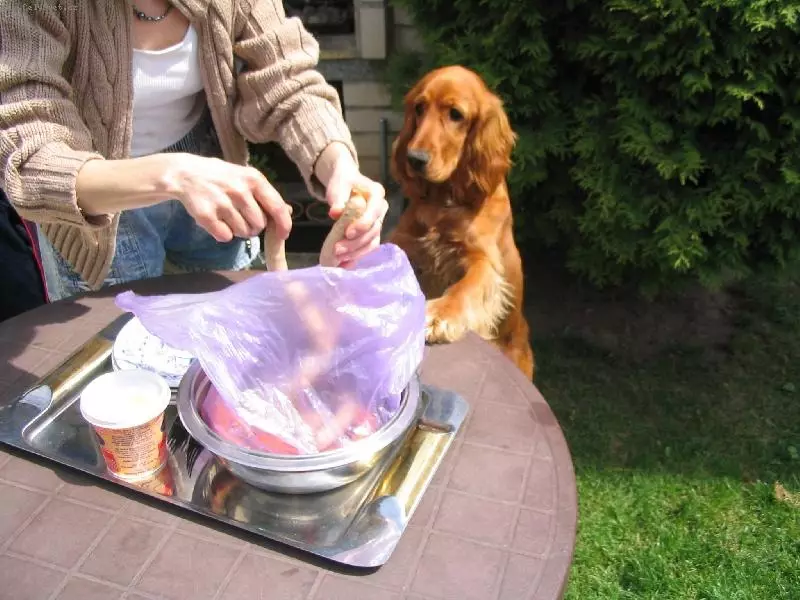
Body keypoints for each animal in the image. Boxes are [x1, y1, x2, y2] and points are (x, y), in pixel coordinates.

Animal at [386, 65, 532, 380]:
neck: (443, 201)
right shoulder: (406, 242)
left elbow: (465, 287)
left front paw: (439, 315)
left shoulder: (483, 259)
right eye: (419, 108)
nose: (414, 158)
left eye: (455, 114)